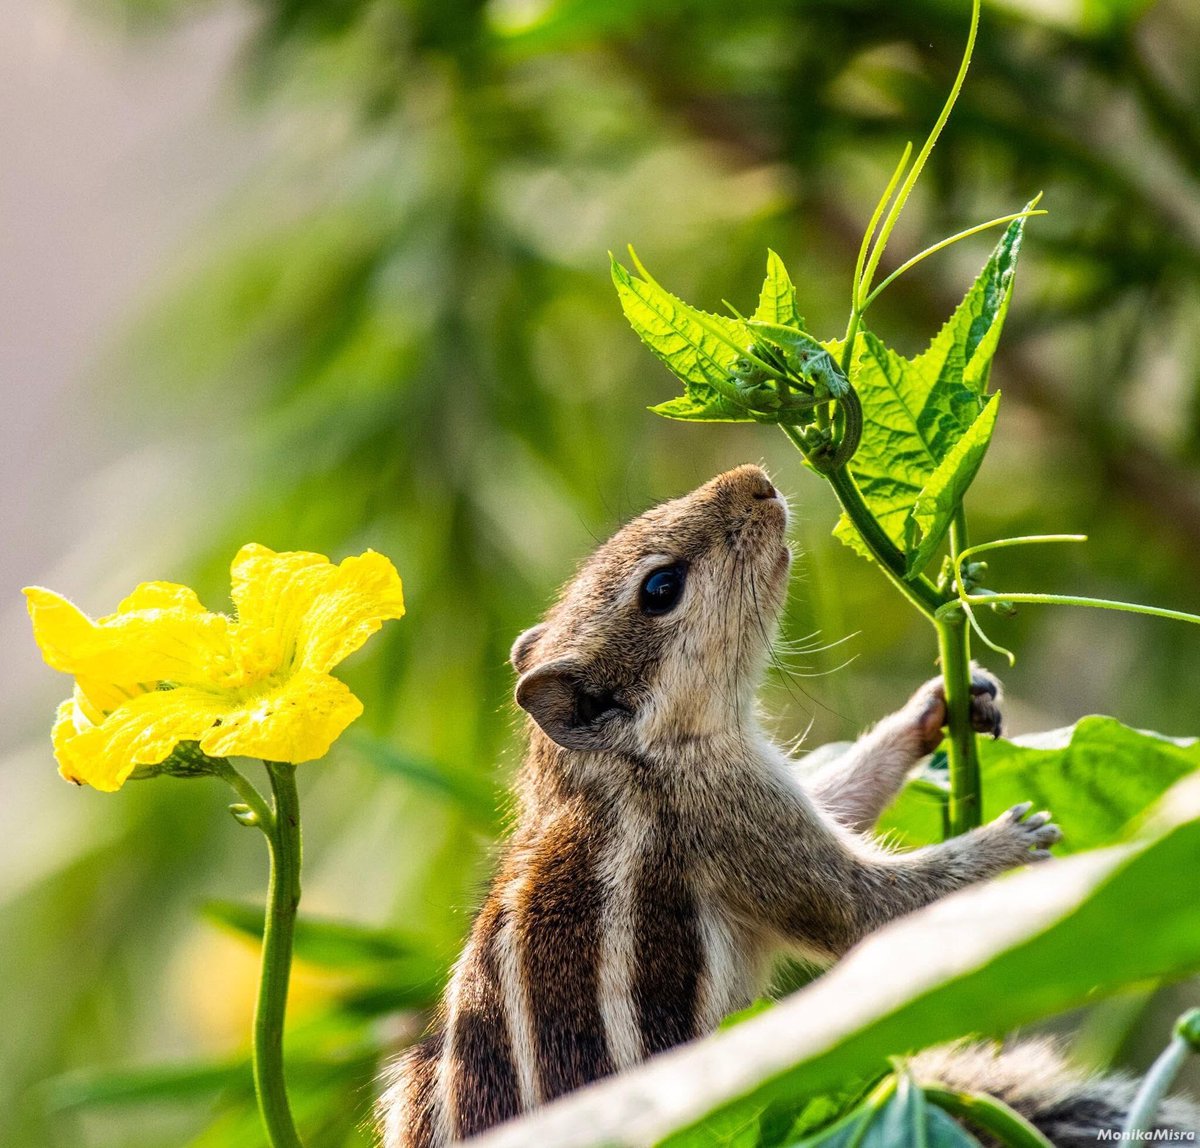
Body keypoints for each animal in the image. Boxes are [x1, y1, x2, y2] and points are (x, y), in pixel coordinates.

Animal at [377, 464, 1198, 1146]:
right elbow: (865, 904)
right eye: (660, 587)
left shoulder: (775, 787)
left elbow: (844, 796)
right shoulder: (736, 819)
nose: (755, 478)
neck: (614, 766)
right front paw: (1007, 839)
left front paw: (936, 707)